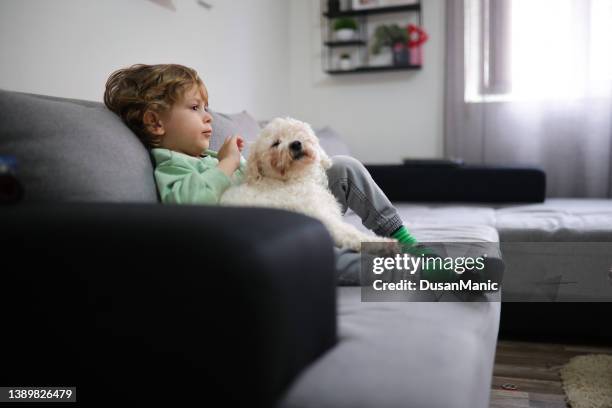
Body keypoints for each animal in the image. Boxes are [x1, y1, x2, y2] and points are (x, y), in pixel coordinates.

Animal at [220, 116, 396, 253]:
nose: (296, 144)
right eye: (275, 143)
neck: (294, 180)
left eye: (299, 133)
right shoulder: (326, 220)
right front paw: (384, 244)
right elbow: (351, 234)